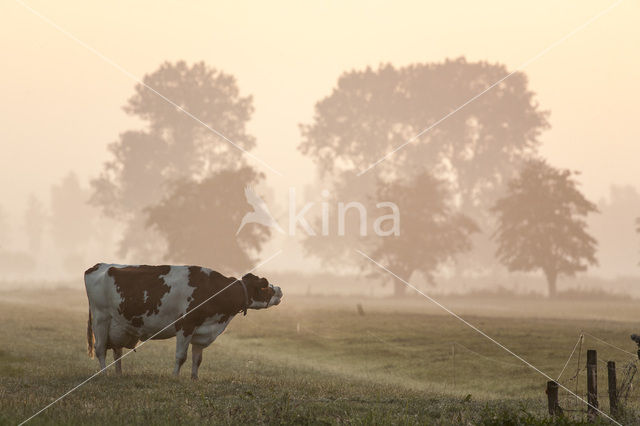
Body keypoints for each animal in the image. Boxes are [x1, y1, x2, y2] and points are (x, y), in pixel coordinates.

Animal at [84, 262, 282, 380]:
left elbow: (197, 359)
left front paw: (194, 379)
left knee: (116, 352)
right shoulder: (185, 325)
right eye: (265, 286)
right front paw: (175, 377)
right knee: (100, 349)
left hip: (117, 324)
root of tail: (100, 266)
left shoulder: (201, 331)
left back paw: (119, 374)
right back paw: (105, 374)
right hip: (101, 318)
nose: (280, 290)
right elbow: (181, 357)